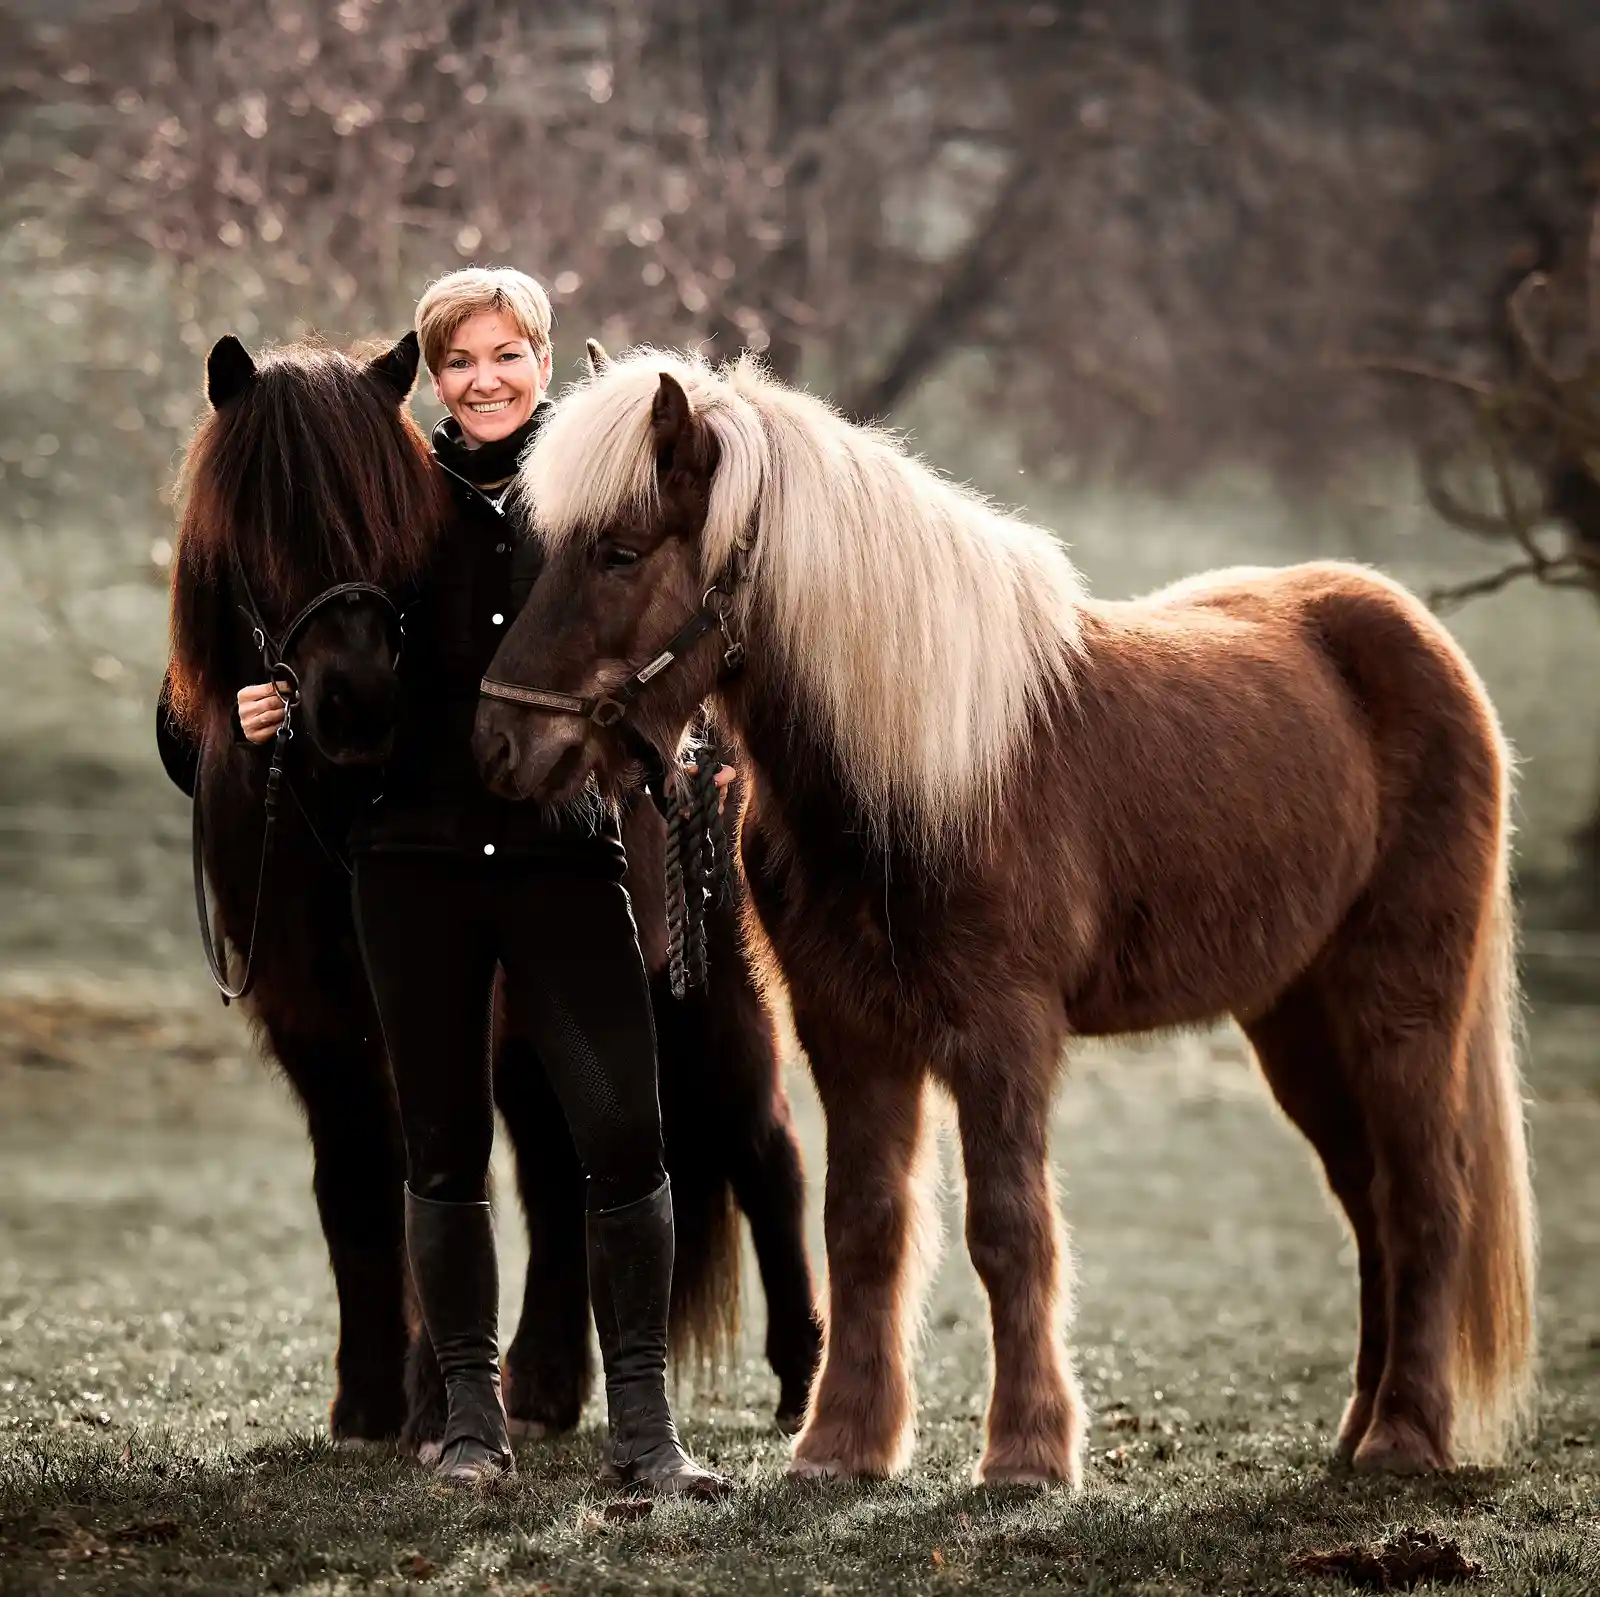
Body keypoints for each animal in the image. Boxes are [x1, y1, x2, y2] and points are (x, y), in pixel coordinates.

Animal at [165, 332, 821, 1450]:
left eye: (391, 519)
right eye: (260, 518)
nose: (357, 704)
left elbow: (441, 1167)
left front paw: (431, 1404)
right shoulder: (315, 1025)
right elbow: (357, 1188)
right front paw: (367, 1402)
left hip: (703, 989)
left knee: (763, 1144)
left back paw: (797, 1380)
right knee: (562, 1174)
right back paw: (547, 1384)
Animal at [472, 345, 1538, 1486]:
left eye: (620, 553)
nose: (496, 745)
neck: (922, 773)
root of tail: (1417, 637)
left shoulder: (1003, 1032)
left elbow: (1009, 1228)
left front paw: (1026, 1450)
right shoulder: (850, 1031)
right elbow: (864, 1224)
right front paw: (842, 1443)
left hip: (1400, 1010)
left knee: (1425, 1198)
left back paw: (1404, 1436)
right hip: (1296, 1021)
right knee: (1369, 1202)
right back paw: (1357, 1427)